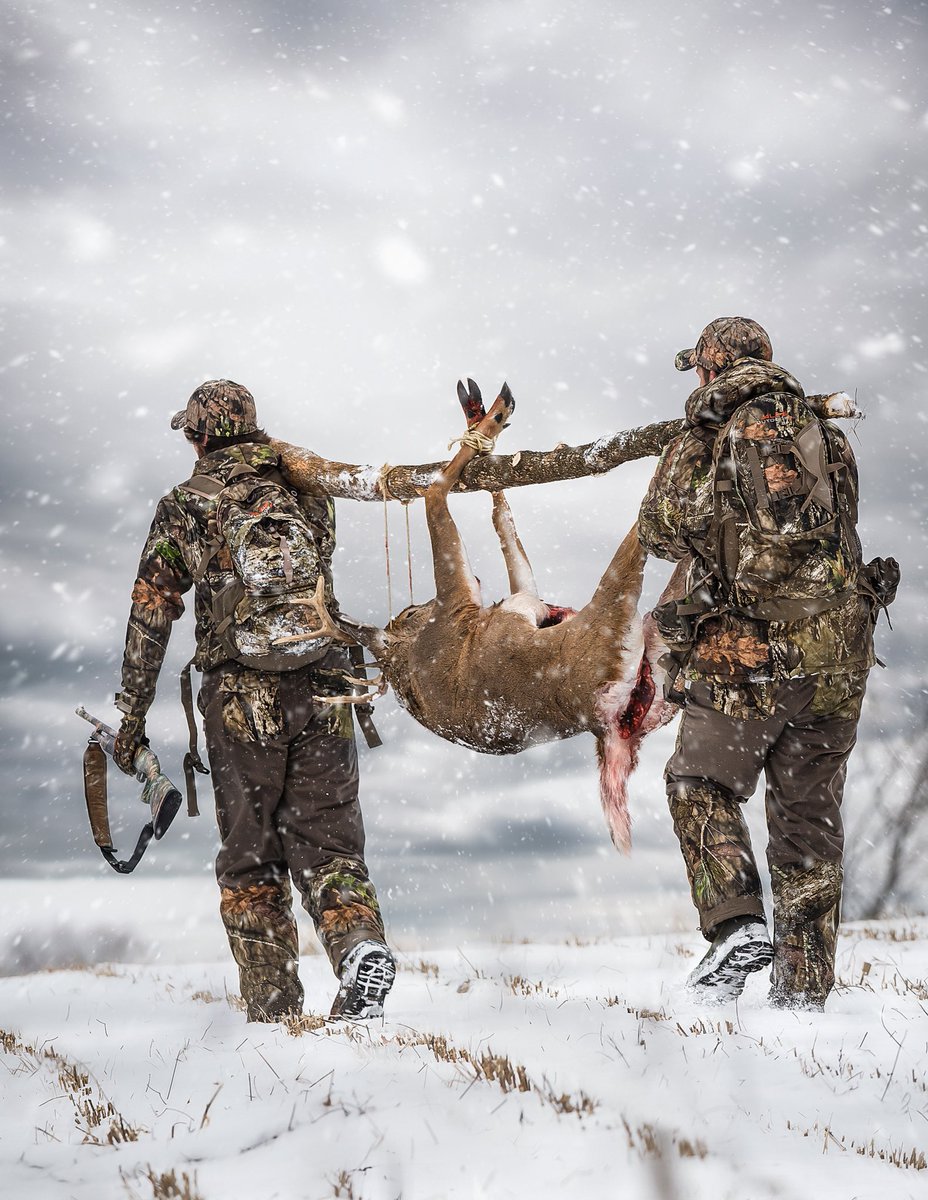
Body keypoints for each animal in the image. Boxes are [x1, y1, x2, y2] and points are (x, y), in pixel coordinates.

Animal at [286, 381, 677, 850]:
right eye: (412, 609)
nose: (475, 576)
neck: (410, 654)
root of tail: (602, 728)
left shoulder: (520, 597)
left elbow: (501, 521)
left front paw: (478, 422)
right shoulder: (461, 601)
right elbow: (436, 491)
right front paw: (491, 420)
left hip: (658, 675)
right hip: (615, 614)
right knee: (643, 532)